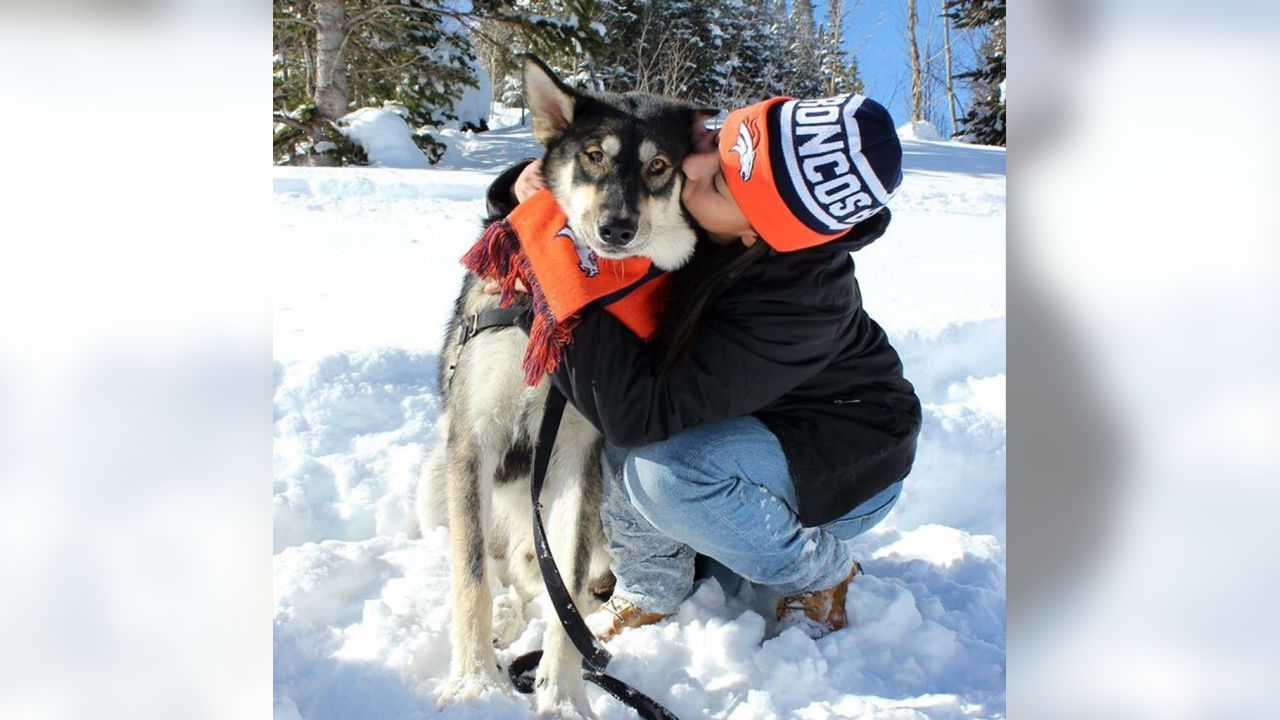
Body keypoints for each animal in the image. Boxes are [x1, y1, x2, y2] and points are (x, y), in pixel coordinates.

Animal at [419, 57, 716, 717]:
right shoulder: (474, 438)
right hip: (437, 475)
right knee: (496, 564)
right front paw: (474, 683)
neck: (554, 313)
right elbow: (471, 578)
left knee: (555, 577)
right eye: (594, 155)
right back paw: (502, 622)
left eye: (659, 167)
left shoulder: (579, 453)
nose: (617, 227)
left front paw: (562, 695)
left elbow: (567, 596)